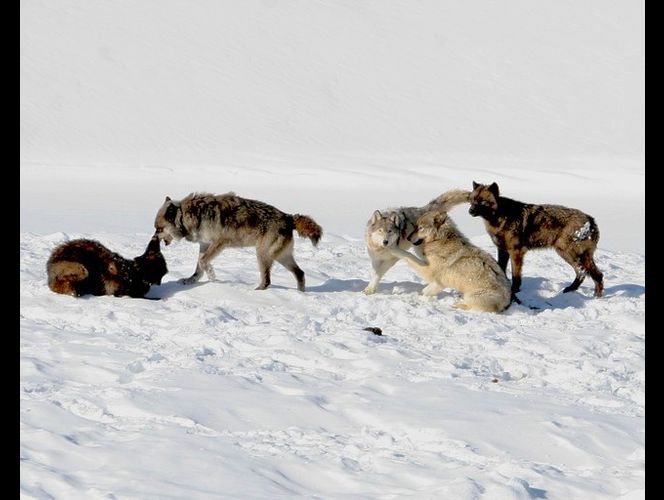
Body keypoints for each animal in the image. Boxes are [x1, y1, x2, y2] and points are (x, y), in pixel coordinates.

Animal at [153, 192, 322, 291]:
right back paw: (301, 295)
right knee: (300, 273)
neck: (190, 215)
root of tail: (288, 216)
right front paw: (191, 281)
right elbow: (199, 266)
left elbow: (203, 262)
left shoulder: (219, 243)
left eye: (159, 229)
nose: (153, 238)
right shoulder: (204, 244)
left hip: (262, 255)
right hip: (280, 257)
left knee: (267, 280)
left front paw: (212, 277)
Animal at [468, 181, 604, 297]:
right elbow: (501, 269)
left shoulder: (516, 252)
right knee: (596, 275)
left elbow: (516, 277)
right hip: (574, 255)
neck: (501, 217)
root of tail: (591, 220)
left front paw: (515, 291)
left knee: (583, 272)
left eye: (482, 201)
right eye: (473, 200)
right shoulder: (503, 250)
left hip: (566, 253)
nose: (470, 211)